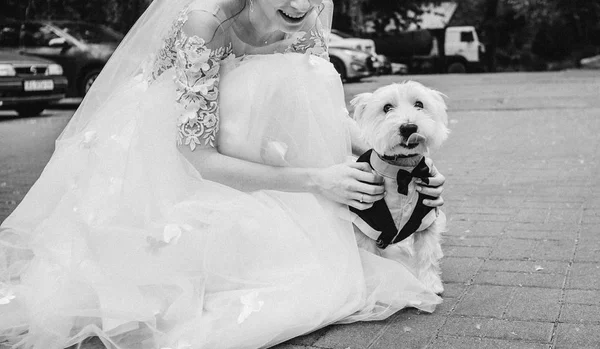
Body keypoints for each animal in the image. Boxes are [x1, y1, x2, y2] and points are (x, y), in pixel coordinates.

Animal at [350, 79, 448, 294]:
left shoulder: (426, 219)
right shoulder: (366, 225)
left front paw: (431, 285)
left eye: (419, 104)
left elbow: (427, 254)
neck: (403, 171)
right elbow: (375, 260)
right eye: (387, 108)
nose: (409, 127)